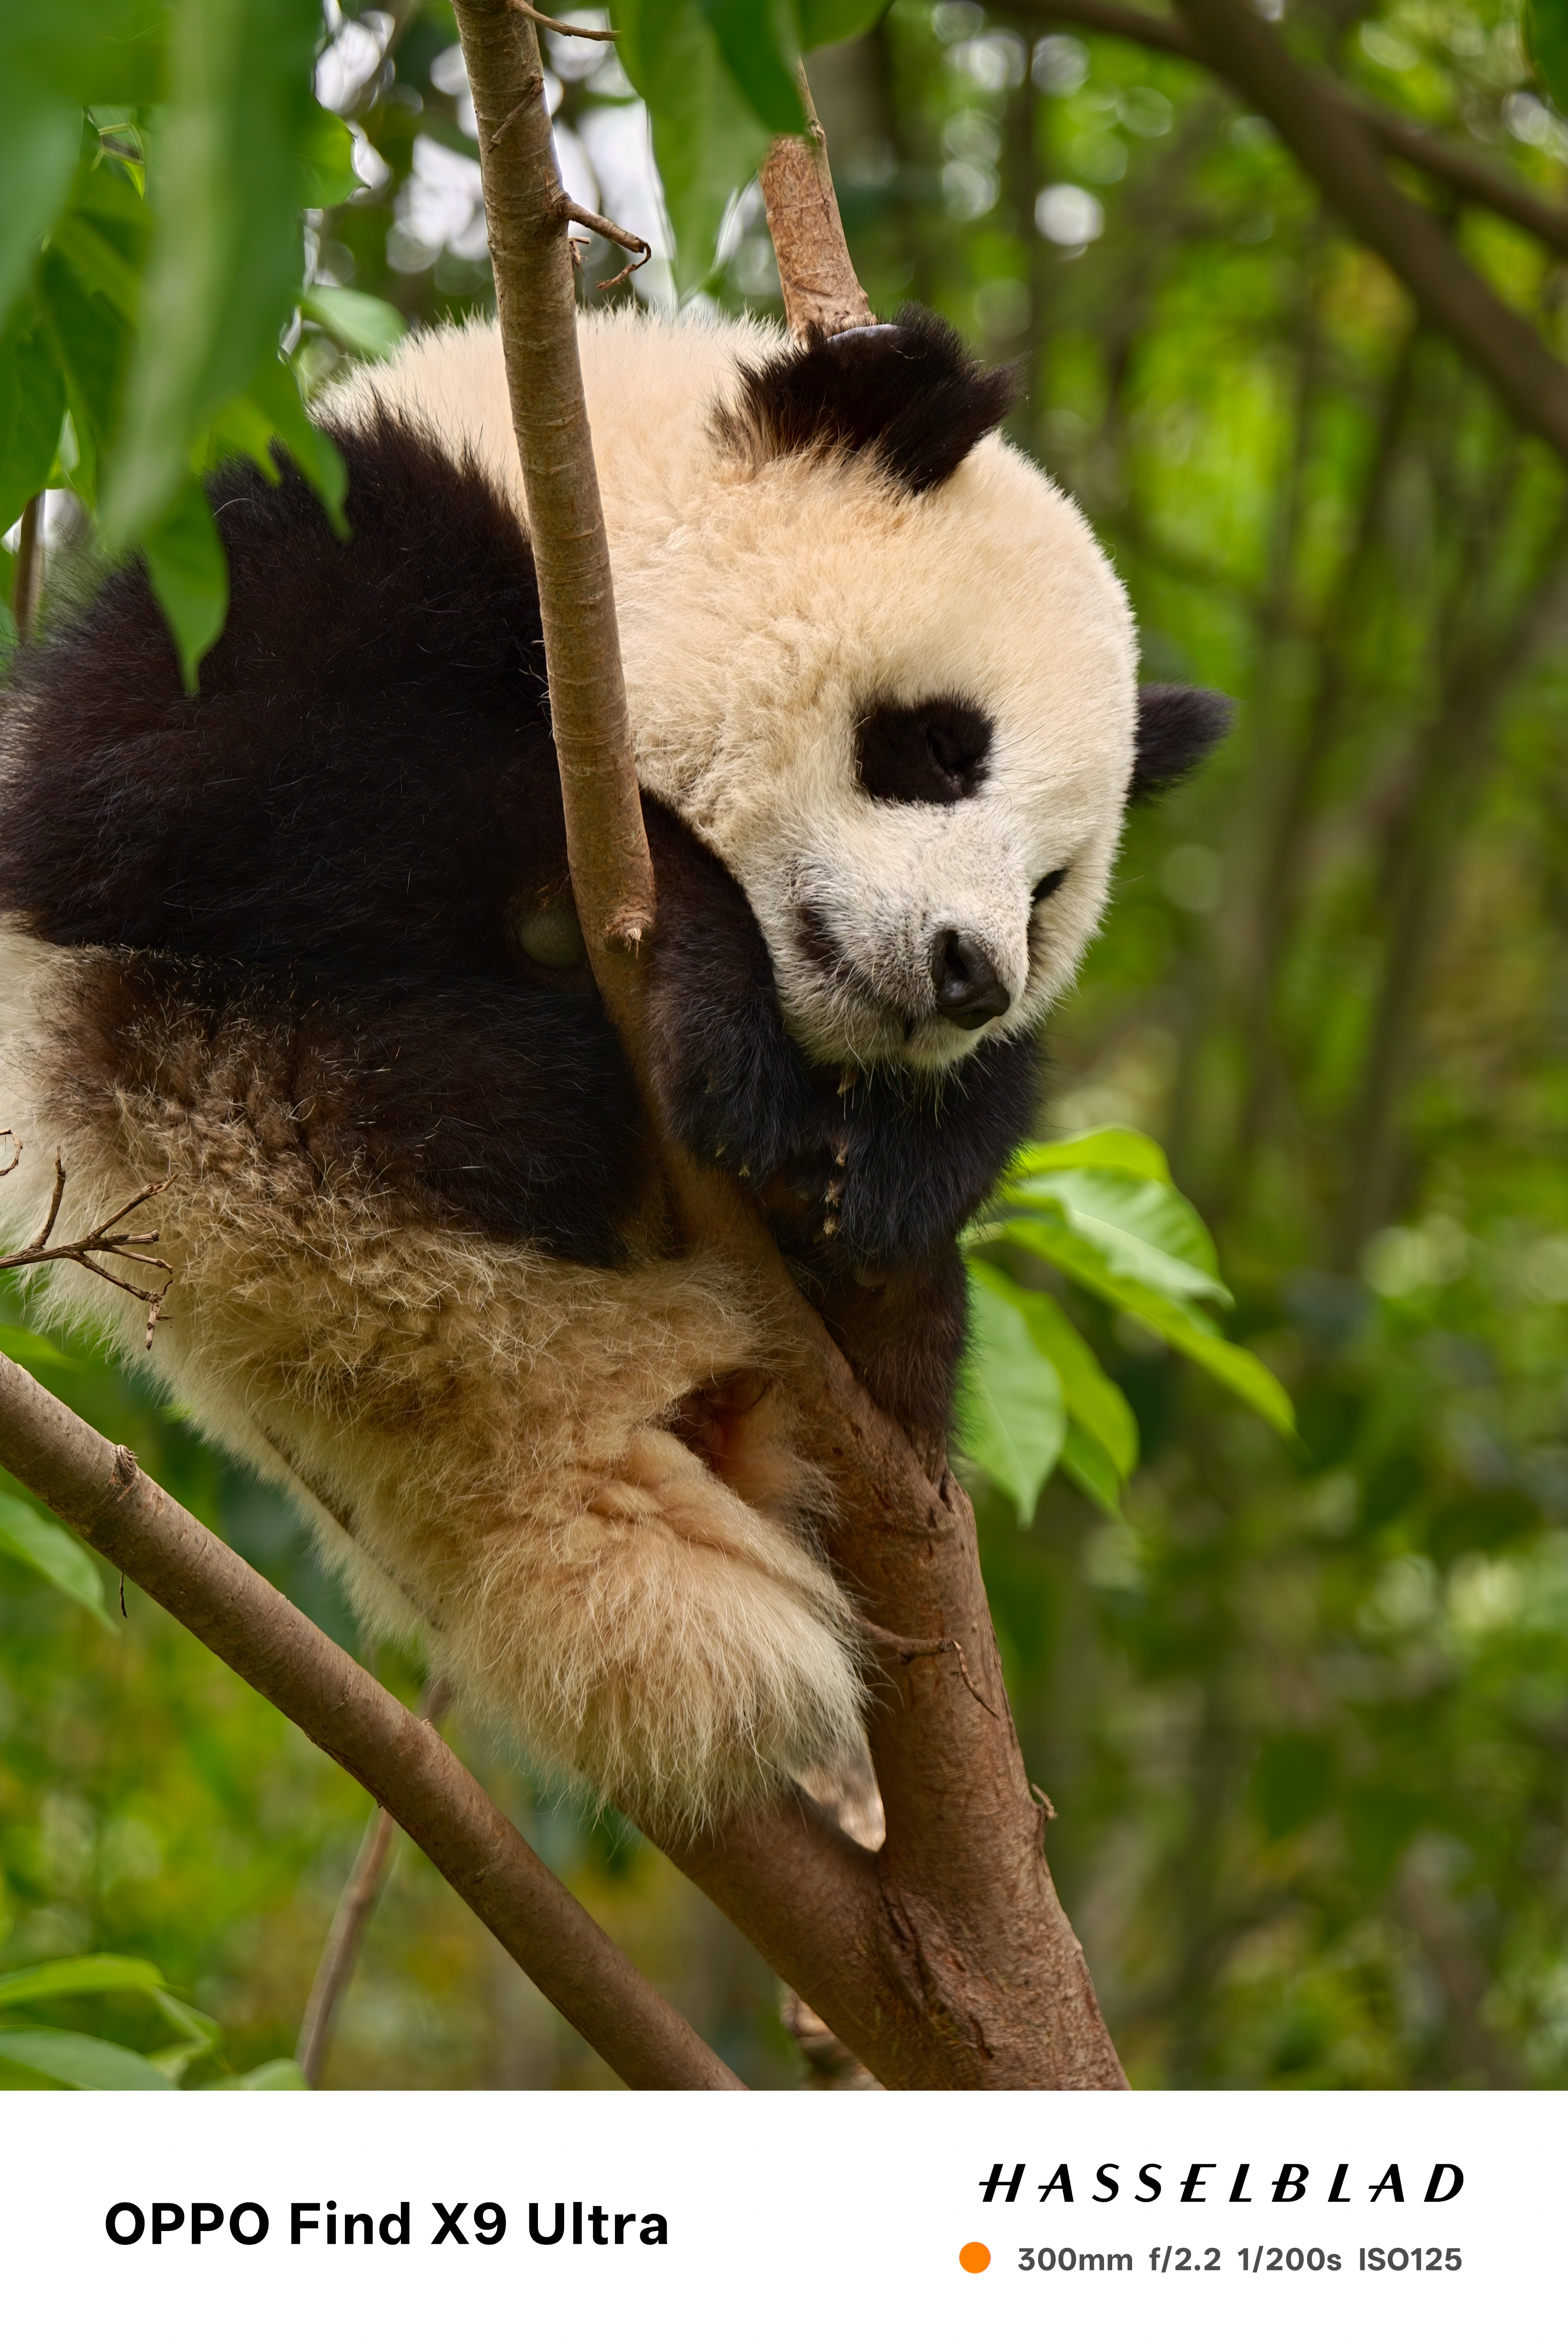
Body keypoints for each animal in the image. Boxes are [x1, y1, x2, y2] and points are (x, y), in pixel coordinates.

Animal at [0, 305, 1228, 1827]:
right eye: (941, 747)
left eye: (1051, 889)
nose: (967, 977)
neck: (580, 488)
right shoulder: (310, 539)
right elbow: (149, 792)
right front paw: (714, 994)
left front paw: (879, 1173)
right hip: (227, 1088)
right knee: (473, 1098)